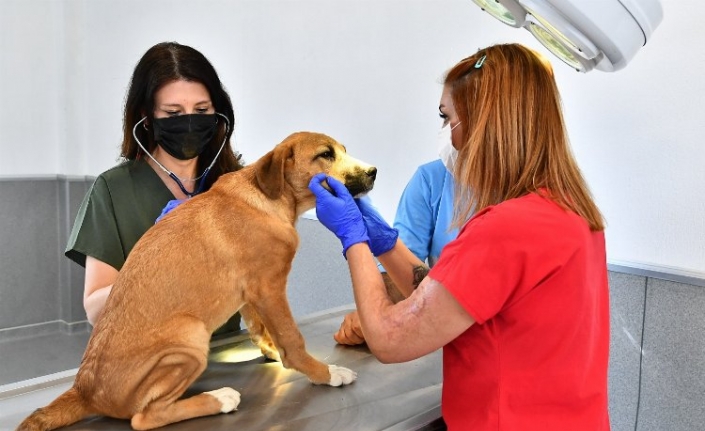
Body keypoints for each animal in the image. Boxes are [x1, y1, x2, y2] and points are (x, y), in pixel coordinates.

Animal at [16, 132, 374, 431]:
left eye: (343, 150)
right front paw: (325, 374)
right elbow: (292, 338)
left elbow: (261, 329)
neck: (268, 197)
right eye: (325, 154)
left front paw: (274, 353)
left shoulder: (251, 292)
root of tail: (84, 390)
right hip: (190, 337)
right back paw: (219, 399)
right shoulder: (269, 287)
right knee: (144, 418)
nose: (373, 171)